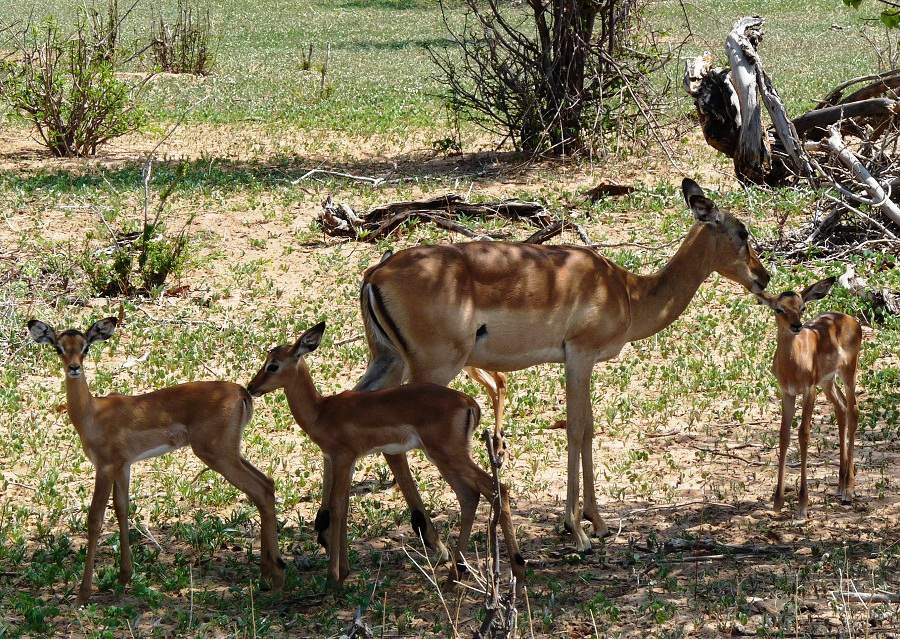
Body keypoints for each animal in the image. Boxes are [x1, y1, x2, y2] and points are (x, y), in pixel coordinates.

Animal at [28, 318, 284, 604]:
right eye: (59, 348)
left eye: (85, 347)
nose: (74, 368)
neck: (93, 414)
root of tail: (241, 392)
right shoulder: (124, 466)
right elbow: (122, 509)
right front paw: (124, 576)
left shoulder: (104, 467)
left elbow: (95, 519)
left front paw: (83, 594)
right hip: (231, 453)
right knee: (267, 484)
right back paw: (268, 572)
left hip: (218, 454)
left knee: (260, 489)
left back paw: (274, 577)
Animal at [246, 324, 528, 592]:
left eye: (273, 365)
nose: (252, 387)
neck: (321, 411)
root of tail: (470, 403)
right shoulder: (349, 462)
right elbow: (344, 508)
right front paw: (343, 573)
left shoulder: (342, 457)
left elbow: (336, 508)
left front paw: (332, 579)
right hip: (445, 458)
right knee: (470, 495)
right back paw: (454, 577)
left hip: (449, 455)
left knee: (497, 489)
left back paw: (517, 569)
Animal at [756, 278, 860, 524]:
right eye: (779, 309)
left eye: (802, 307)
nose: (797, 326)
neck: (793, 364)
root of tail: (851, 319)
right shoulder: (787, 392)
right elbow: (783, 435)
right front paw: (777, 502)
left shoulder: (808, 390)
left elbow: (803, 434)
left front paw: (802, 506)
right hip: (828, 381)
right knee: (841, 409)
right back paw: (840, 485)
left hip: (848, 372)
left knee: (853, 411)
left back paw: (849, 491)